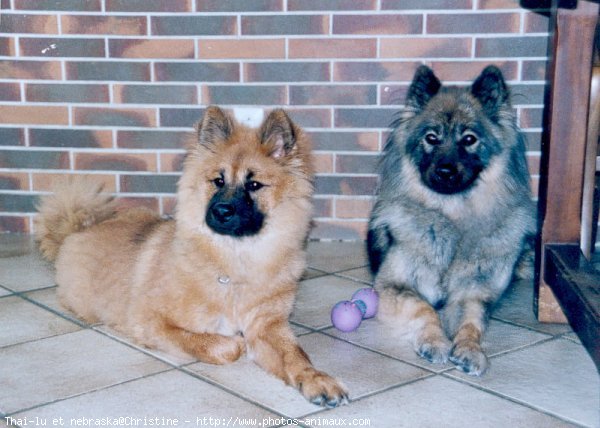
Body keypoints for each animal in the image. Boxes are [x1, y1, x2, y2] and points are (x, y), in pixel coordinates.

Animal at [36, 107, 346, 408]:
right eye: (218, 181)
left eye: (254, 185)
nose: (221, 211)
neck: (234, 263)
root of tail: (79, 229)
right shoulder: (153, 322)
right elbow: (218, 345)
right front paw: (236, 344)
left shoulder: (267, 326)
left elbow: (296, 355)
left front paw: (316, 380)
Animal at [366, 64, 536, 374]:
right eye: (431, 138)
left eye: (469, 139)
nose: (445, 171)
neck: (453, 216)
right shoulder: (393, 286)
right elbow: (425, 308)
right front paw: (435, 341)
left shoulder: (474, 293)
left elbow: (472, 321)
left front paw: (470, 350)